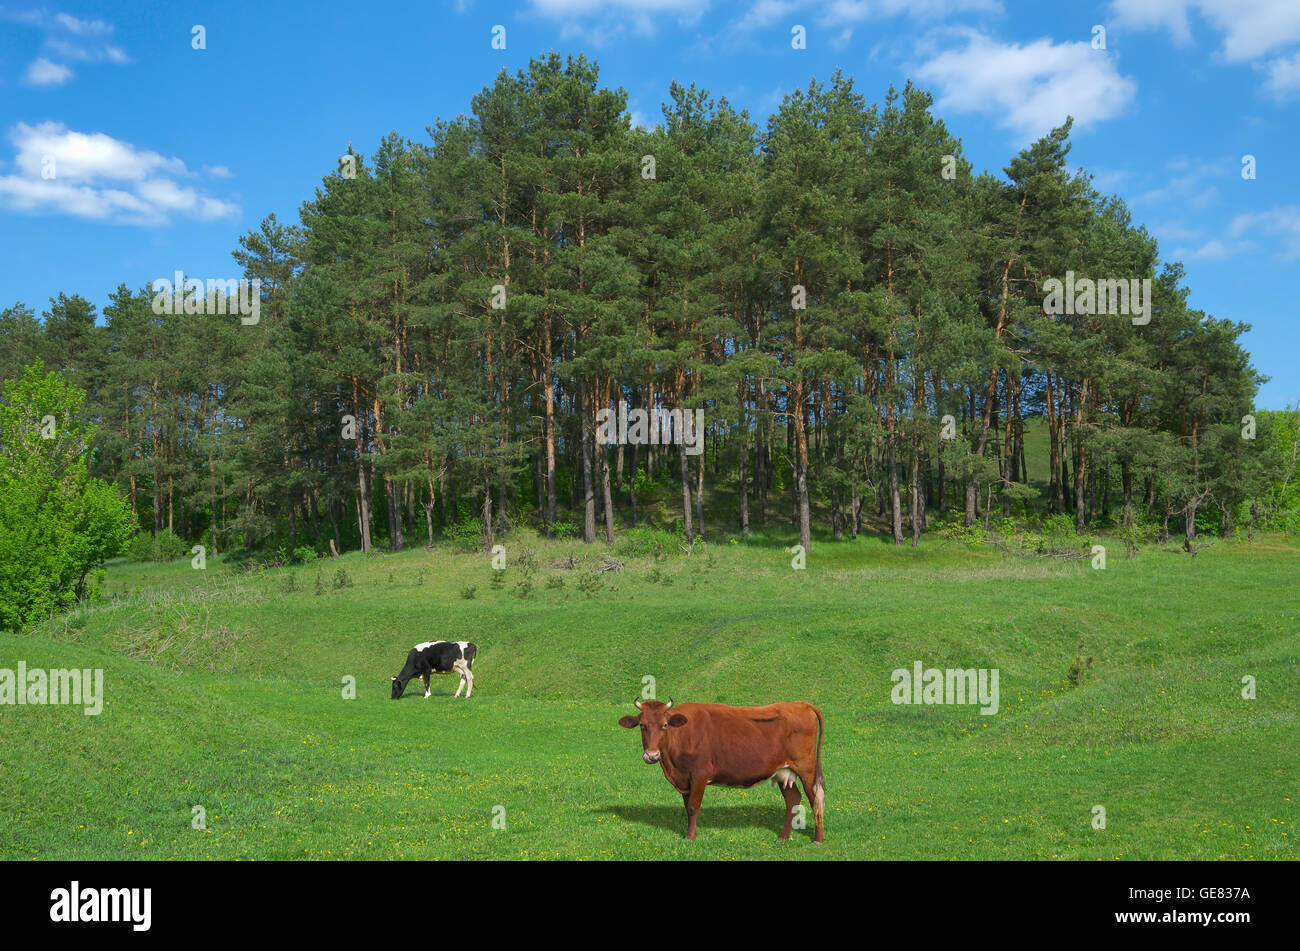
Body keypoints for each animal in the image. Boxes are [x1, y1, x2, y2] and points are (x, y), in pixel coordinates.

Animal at [618, 698, 825, 843]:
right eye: (642, 725)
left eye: (665, 725)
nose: (652, 755)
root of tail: (800, 704)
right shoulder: (685, 780)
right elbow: (687, 806)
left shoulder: (699, 775)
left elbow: (693, 807)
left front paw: (690, 837)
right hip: (784, 772)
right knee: (793, 799)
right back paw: (783, 837)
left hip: (807, 769)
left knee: (815, 798)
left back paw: (818, 839)